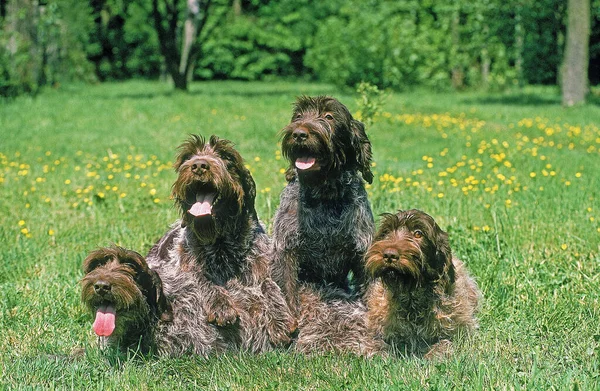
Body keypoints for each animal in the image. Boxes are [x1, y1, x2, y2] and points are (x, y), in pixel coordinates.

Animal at [146, 135, 296, 356]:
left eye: (226, 157)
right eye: (188, 156)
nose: (199, 165)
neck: (221, 245)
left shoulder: (264, 267)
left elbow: (270, 285)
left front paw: (280, 320)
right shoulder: (180, 272)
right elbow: (202, 279)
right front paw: (221, 305)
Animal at [272, 96, 376, 314]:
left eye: (329, 117)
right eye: (298, 116)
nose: (299, 133)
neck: (324, 195)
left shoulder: (362, 252)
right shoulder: (286, 250)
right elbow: (287, 293)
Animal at [364, 210, 480, 360]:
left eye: (418, 233)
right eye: (386, 231)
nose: (389, 255)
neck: (411, 296)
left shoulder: (460, 334)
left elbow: (444, 343)